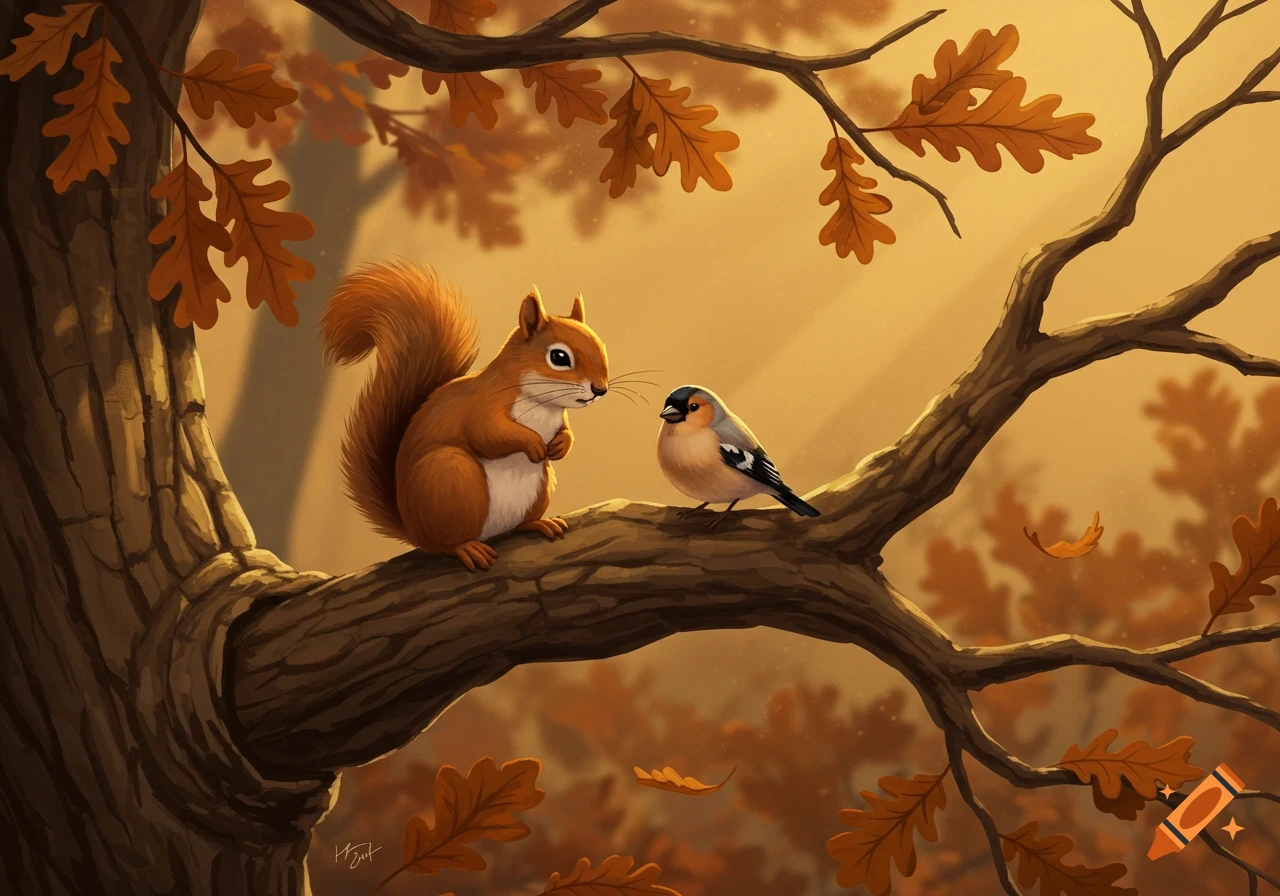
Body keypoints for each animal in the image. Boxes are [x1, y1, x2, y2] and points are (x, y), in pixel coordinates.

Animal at [320, 260, 610, 571]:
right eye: (559, 357)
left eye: (602, 346)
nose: (600, 389)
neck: (542, 403)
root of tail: (412, 528)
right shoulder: (483, 405)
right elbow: (486, 434)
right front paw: (532, 442)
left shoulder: (558, 418)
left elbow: (566, 431)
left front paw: (561, 445)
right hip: (452, 476)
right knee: (442, 544)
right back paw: (466, 548)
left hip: (540, 486)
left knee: (518, 524)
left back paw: (540, 524)